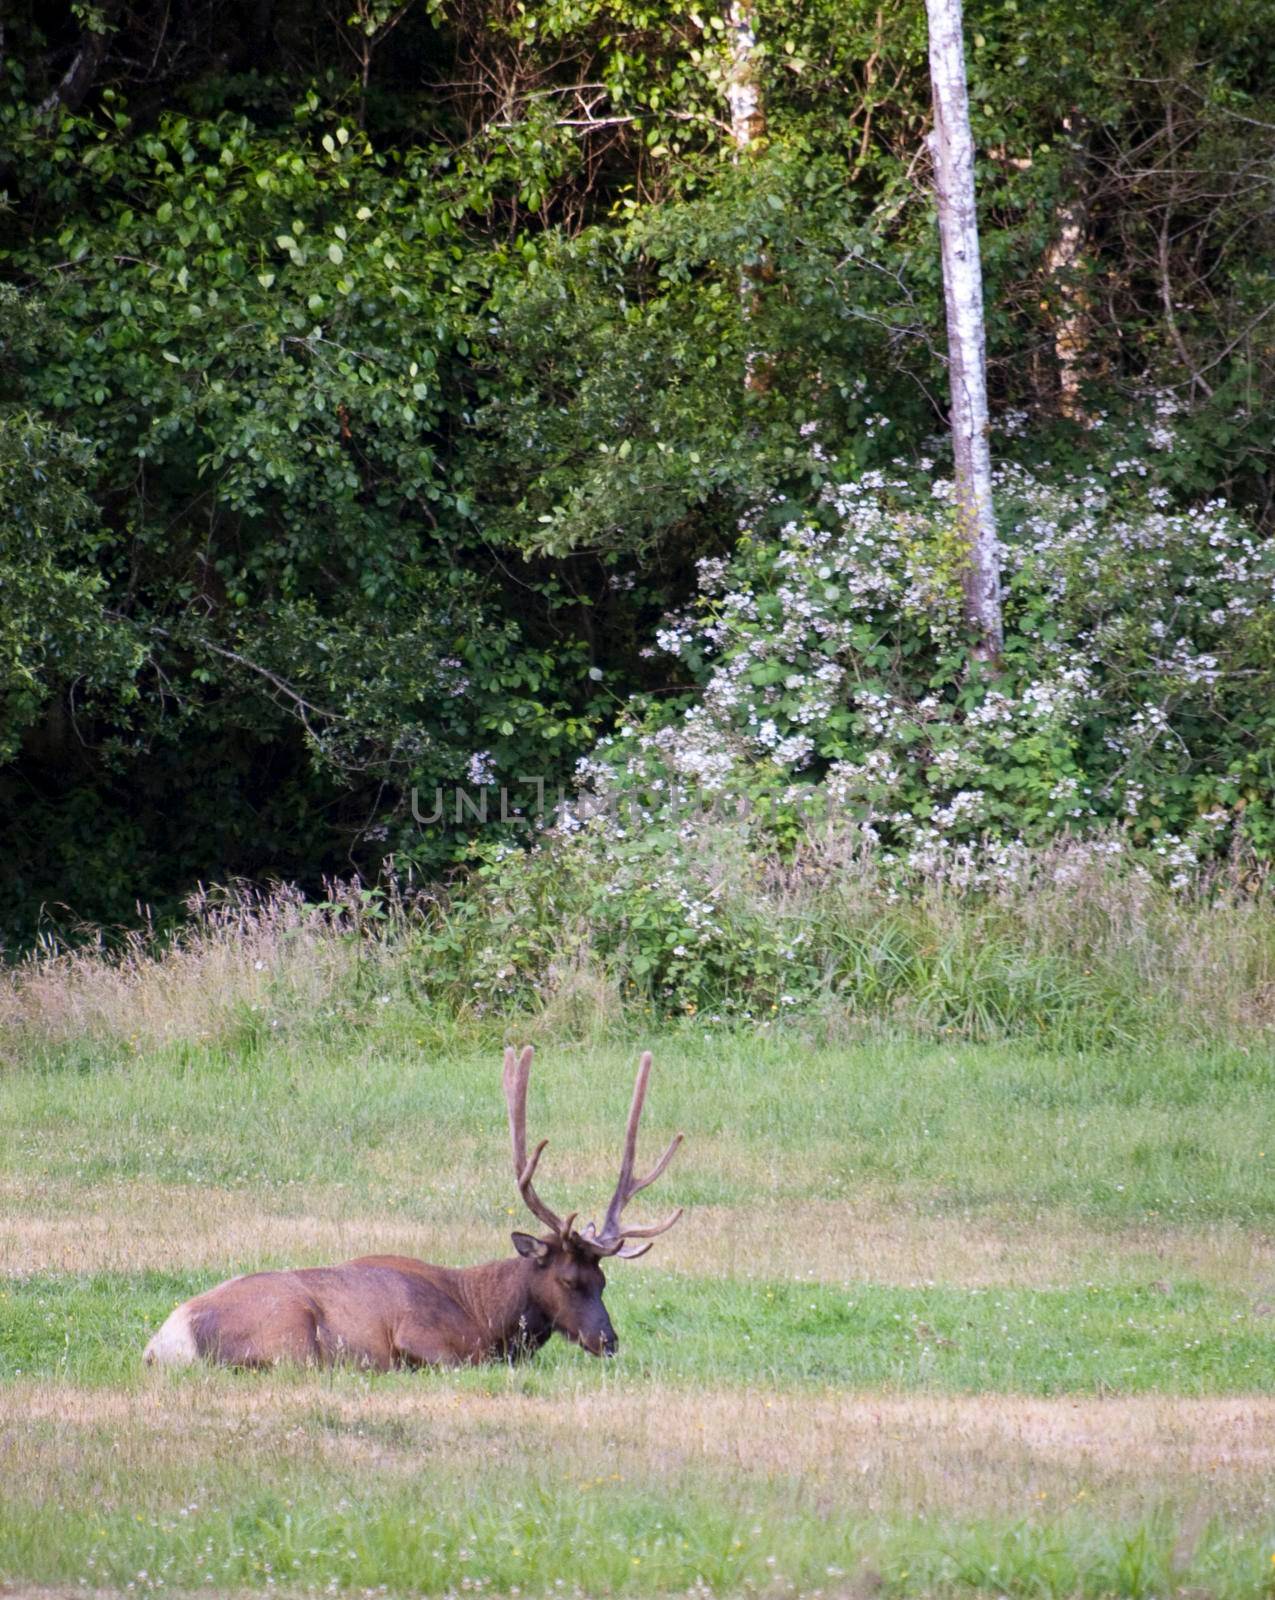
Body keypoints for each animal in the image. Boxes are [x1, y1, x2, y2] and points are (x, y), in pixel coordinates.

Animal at [143, 1043, 681, 1369]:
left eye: (603, 1280)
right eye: (569, 1280)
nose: (608, 1341)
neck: (488, 1317)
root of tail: (165, 1343)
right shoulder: (420, 1336)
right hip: (291, 1334)